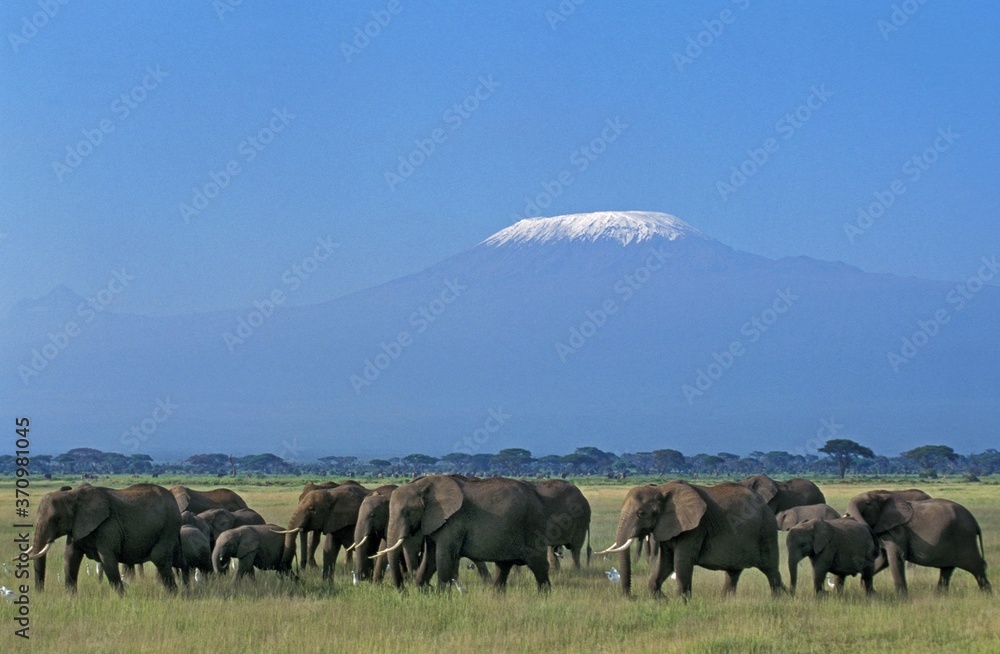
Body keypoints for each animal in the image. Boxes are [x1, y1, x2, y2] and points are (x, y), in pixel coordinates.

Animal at [30, 483, 184, 595]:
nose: (40, 593)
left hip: (169, 526)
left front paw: (122, 598)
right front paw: (71, 598)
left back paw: (172, 596)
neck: (72, 495)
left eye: (57, 519)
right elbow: (70, 558)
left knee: (159, 557)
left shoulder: (108, 526)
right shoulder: (76, 526)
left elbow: (107, 560)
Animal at [376, 475, 551, 592]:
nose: (404, 591)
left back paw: (544, 598)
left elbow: (442, 557)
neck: (423, 485)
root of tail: (537, 496)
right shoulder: (433, 521)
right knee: (504, 567)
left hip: (532, 527)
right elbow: (430, 558)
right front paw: (425, 591)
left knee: (538, 565)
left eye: (408, 512)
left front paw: (441, 596)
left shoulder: (453, 521)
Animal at [598, 480, 784, 598]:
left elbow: (681, 562)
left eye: (641, 513)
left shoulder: (694, 528)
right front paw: (663, 600)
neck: (661, 490)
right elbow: (665, 562)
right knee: (733, 573)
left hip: (766, 532)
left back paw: (779, 599)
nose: (631, 596)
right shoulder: (668, 526)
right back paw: (727, 600)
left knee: (771, 570)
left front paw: (683, 603)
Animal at [846, 491, 991, 593]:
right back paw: (939, 596)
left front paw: (902, 598)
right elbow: (883, 559)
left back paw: (988, 595)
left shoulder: (898, 530)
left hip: (964, 538)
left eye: (868, 503)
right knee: (947, 569)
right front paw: (865, 586)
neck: (881, 497)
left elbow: (895, 558)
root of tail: (975, 523)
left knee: (976, 566)